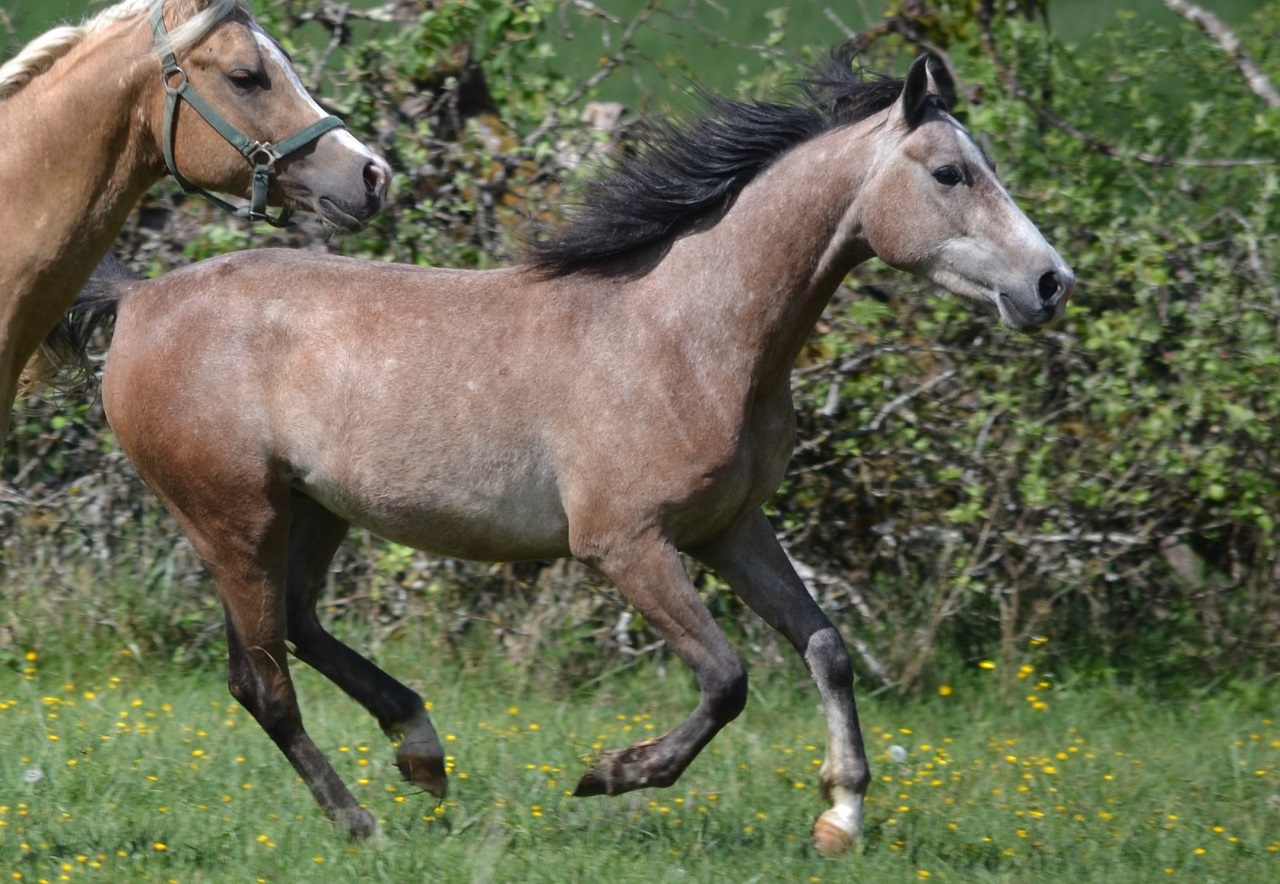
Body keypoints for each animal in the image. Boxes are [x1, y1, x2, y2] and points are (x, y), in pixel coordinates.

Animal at [47, 51, 1070, 854]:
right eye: (949, 173)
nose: (1051, 284)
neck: (689, 333)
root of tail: (138, 301)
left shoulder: (732, 530)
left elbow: (825, 647)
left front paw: (841, 818)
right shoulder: (627, 545)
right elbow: (728, 680)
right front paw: (611, 773)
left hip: (312, 511)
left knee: (296, 630)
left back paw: (421, 750)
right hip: (232, 515)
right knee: (262, 681)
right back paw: (362, 822)